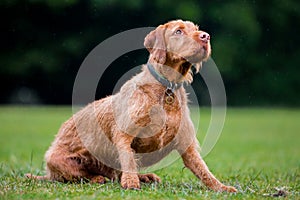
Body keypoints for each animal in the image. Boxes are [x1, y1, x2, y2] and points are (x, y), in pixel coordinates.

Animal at [26, 19, 237, 192]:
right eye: (178, 31)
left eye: (196, 29)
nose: (206, 36)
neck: (166, 87)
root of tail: (48, 173)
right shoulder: (124, 133)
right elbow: (127, 158)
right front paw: (131, 182)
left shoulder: (187, 143)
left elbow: (203, 169)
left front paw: (222, 187)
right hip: (59, 160)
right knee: (80, 177)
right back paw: (99, 178)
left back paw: (145, 177)